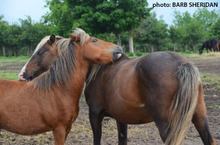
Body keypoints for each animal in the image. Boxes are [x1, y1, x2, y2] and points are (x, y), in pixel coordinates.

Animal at [19, 50, 217, 144]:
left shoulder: (95, 115)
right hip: (199, 117)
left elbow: (97, 139)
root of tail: (181, 63)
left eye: (40, 52)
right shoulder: (122, 118)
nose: (23, 74)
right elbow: (122, 139)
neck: (98, 70)